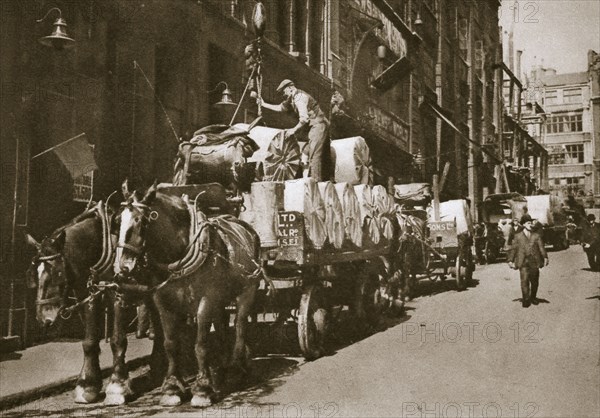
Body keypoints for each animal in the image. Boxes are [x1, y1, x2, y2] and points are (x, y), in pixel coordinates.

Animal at [25, 202, 164, 404]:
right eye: (33, 274)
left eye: (57, 273)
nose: (44, 318)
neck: (103, 248)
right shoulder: (89, 295)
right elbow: (89, 342)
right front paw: (87, 385)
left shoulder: (119, 293)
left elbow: (117, 340)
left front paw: (117, 386)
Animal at [113, 181, 262, 406]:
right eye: (118, 221)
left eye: (141, 221)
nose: (123, 269)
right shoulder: (164, 302)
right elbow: (170, 344)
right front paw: (172, 387)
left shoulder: (206, 300)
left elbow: (200, 344)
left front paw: (202, 388)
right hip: (221, 298)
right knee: (221, 326)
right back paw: (222, 367)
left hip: (247, 290)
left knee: (240, 325)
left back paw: (236, 368)